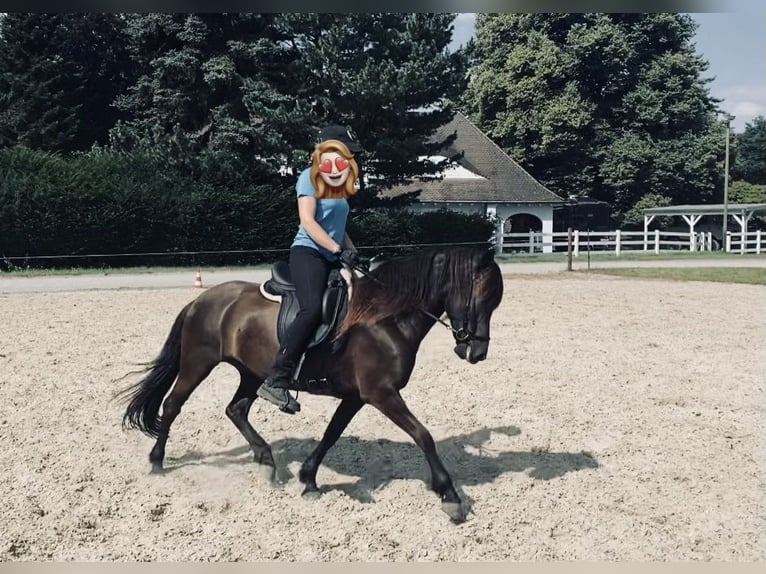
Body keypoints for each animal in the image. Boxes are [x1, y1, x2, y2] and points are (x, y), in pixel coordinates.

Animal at [118, 245, 504, 522]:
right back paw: (157, 461)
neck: (384, 318)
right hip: (198, 362)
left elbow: (331, 434)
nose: (477, 352)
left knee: (236, 409)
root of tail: (202, 299)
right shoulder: (381, 393)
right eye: (481, 298)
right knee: (173, 405)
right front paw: (451, 497)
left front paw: (309, 480)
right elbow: (423, 435)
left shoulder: (357, 395)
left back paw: (266, 460)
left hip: (252, 372)